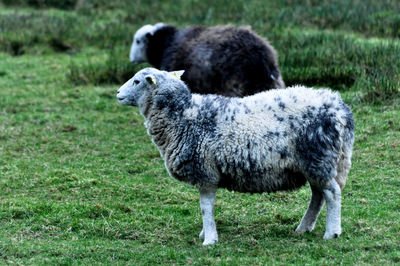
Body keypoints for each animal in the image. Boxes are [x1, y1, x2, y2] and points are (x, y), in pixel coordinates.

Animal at [116, 67, 356, 245]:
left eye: (137, 81)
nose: (117, 94)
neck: (181, 115)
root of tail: (341, 109)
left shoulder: (206, 172)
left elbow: (205, 207)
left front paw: (209, 239)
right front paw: (205, 234)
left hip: (319, 157)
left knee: (332, 193)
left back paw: (332, 232)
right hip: (314, 163)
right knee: (318, 195)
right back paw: (303, 228)